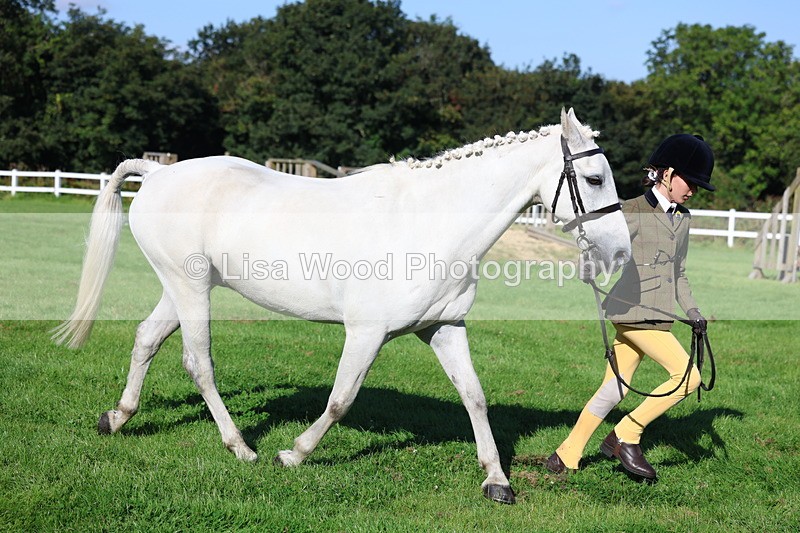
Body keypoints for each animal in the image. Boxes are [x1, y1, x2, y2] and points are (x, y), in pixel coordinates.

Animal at [54, 108, 630, 504]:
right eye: (595, 179)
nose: (620, 253)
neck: (430, 225)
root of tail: (157, 174)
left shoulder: (445, 327)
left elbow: (475, 397)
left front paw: (496, 480)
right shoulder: (366, 333)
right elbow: (340, 399)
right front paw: (293, 454)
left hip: (182, 289)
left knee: (147, 338)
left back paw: (118, 418)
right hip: (190, 288)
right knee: (199, 363)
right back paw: (241, 447)